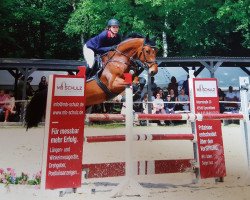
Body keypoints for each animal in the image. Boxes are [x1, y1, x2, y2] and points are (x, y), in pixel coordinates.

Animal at [25, 34, 158, 128]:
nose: (154, 71)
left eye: (156, 51)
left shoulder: (131, 77)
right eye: (147, 51)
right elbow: (131, 85)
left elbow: (140, 81)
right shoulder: (112, 84)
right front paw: (125, 98)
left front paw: (136, 97)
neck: (120, 59)